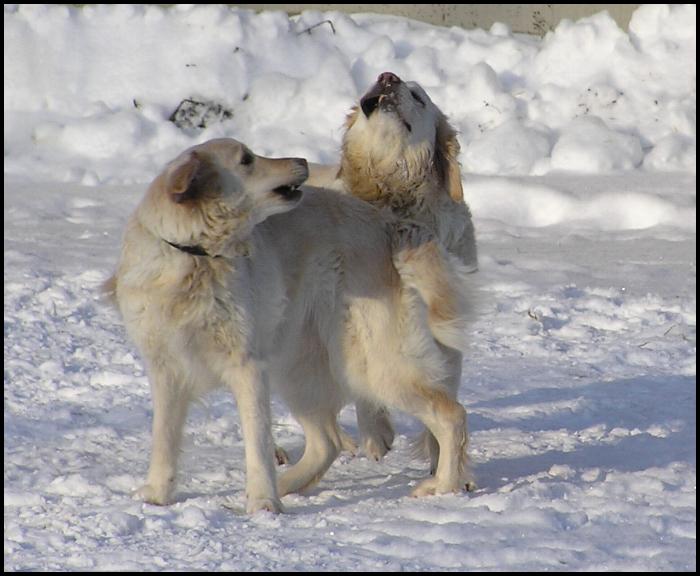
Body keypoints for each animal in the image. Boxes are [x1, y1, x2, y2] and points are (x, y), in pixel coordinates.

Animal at [105, 138, 476, 512]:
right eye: (247, 160)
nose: (302, 160)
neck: (194, 256)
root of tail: (388, 225)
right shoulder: (166, 370)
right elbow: (163, 439)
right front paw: (157, 494)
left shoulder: (247, 367)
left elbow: (257, 443)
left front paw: (262, 504)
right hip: (299, 371)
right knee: (327, 443)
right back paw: (287, 485)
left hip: (374, 367)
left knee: (452, 415)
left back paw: (444, 485)